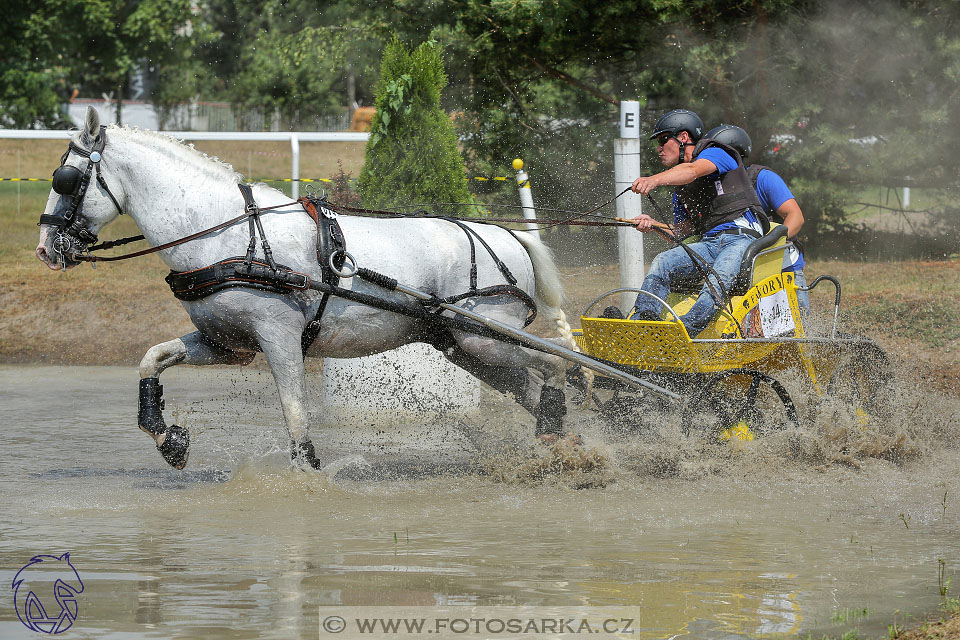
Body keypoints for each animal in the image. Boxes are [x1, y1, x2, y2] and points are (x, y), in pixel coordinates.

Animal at [35, 107, 576, 470]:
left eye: (65, 178)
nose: (44, 248)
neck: (224, 232)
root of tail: (509, 236)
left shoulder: (278, 336)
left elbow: (296, 415)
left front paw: (308, 475)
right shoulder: (226, 343)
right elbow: (153, 358)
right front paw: (169, 440)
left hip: (485, 337)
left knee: (555, 366)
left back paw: (557, 428)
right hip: (466, 348)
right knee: (531, 386)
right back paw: (566, 447)